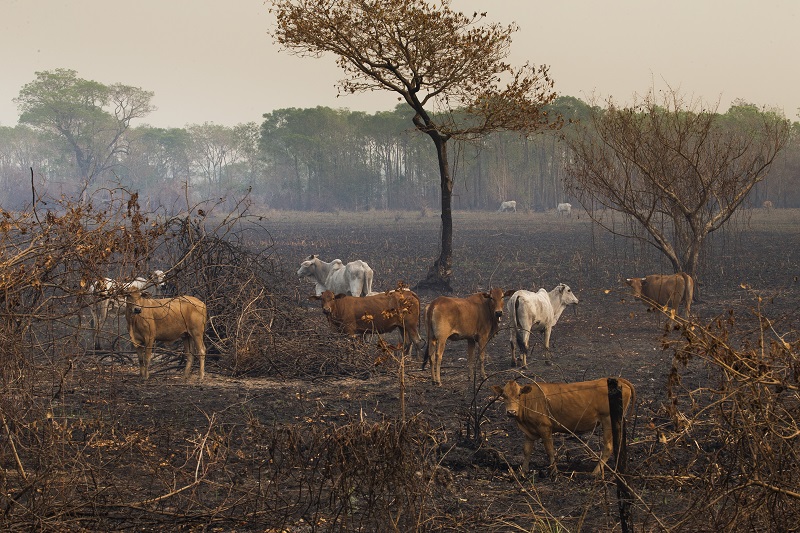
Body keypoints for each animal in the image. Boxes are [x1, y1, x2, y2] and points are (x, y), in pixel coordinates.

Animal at [490, 376, 636, 476]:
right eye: (503, 395)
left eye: (519, 394)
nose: (511, 412)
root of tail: (619, 380)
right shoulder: (529, 431)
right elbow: (526, 451)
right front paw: (523, 472)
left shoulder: (545, 427)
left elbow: (549, 450)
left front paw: (554, 472)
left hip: (607, 420)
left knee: (608, 447)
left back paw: (595, 473)